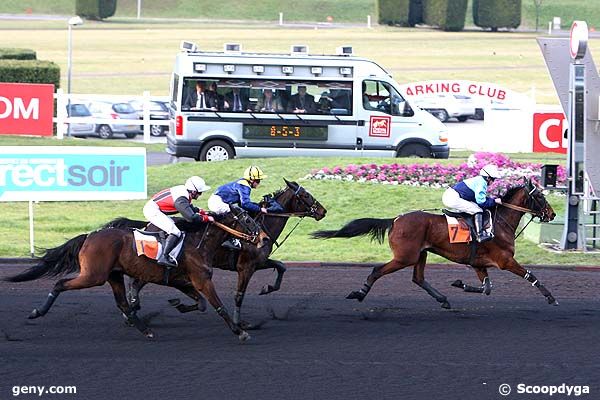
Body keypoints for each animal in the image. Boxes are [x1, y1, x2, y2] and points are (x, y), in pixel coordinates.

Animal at [4, 208, 268, 342]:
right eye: (248, 219)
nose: (264, 238)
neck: (198, 243)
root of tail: (90, 235)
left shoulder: (183, 281)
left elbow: (201, 304)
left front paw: (178, 305)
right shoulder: (202, 280)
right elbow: (218, 306)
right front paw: (240, 331)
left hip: (113, 276)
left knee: (123, 303)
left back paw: (144, 328)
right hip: (94, 275)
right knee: (60, 284)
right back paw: (38, 311)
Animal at [108, 178, 328, 328]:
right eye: (305, 195)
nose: (323, 211)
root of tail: (148, 225)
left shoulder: (259, 262)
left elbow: (281, 267)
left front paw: (267, 288)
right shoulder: (245, 266)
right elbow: (239, 295)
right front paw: (240, 323)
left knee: (135, 283)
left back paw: (133, 312)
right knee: (136, 283)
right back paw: (132, 312)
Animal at [312, 180, 560, 308]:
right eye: (540, 197)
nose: (552, 214)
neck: (499, 223)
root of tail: (395, 219)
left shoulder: (479, 264)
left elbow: (487, 288)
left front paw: (460, 284)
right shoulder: (505, 261)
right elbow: (530, 275)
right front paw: (551, 297)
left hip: (420, 254)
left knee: (418, 278)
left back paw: (443, 300)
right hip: (405, 257)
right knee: (377, 270)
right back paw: (360, 293)